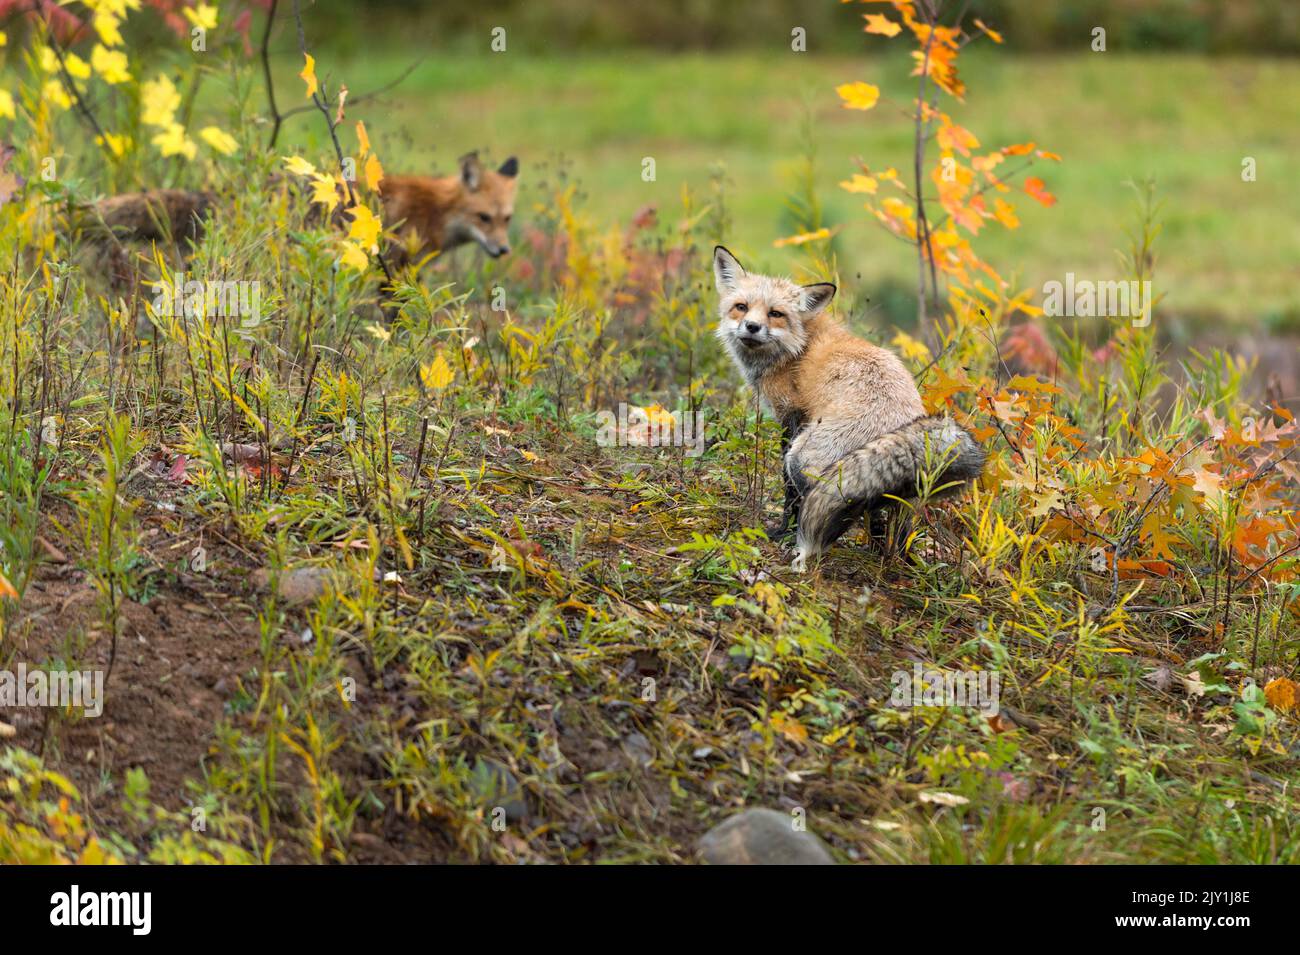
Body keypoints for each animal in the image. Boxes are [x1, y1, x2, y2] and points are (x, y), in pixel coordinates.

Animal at [712, 248, 982, 574]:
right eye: (741, 307)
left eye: (775, 314)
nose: (752, 327)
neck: (797, 347)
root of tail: (902, 423)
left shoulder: (792, 418)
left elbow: (787, 490)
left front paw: (780, 531)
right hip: (903, 490)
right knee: (891, 521)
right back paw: (887, 560)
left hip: (805, 459)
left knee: (815, 500)